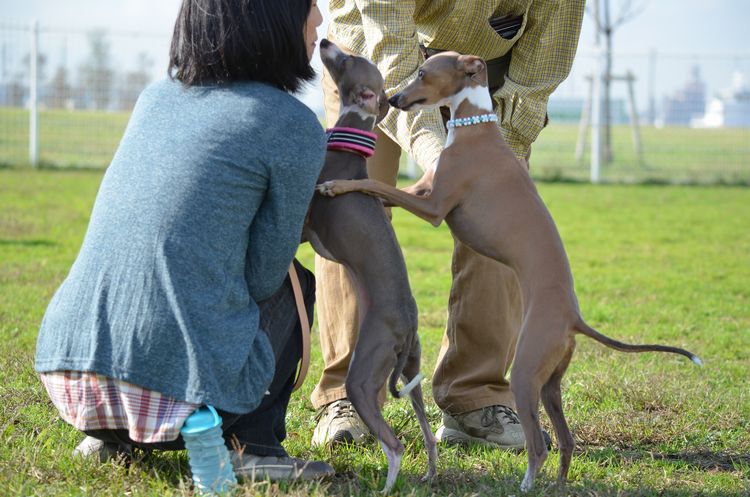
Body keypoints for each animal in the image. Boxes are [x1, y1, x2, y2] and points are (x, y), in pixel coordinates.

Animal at [318, 48, 704, 490]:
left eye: (423, 73)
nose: (395, 100)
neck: (475, 129)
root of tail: (573, 318)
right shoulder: (422, 192)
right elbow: (387, 192)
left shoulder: (433, 208)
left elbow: (376, 186)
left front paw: (335, 186)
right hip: (550, 382)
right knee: (565, 440)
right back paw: (556, 487)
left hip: (524, 372)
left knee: (539, 444)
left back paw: (526, 485)